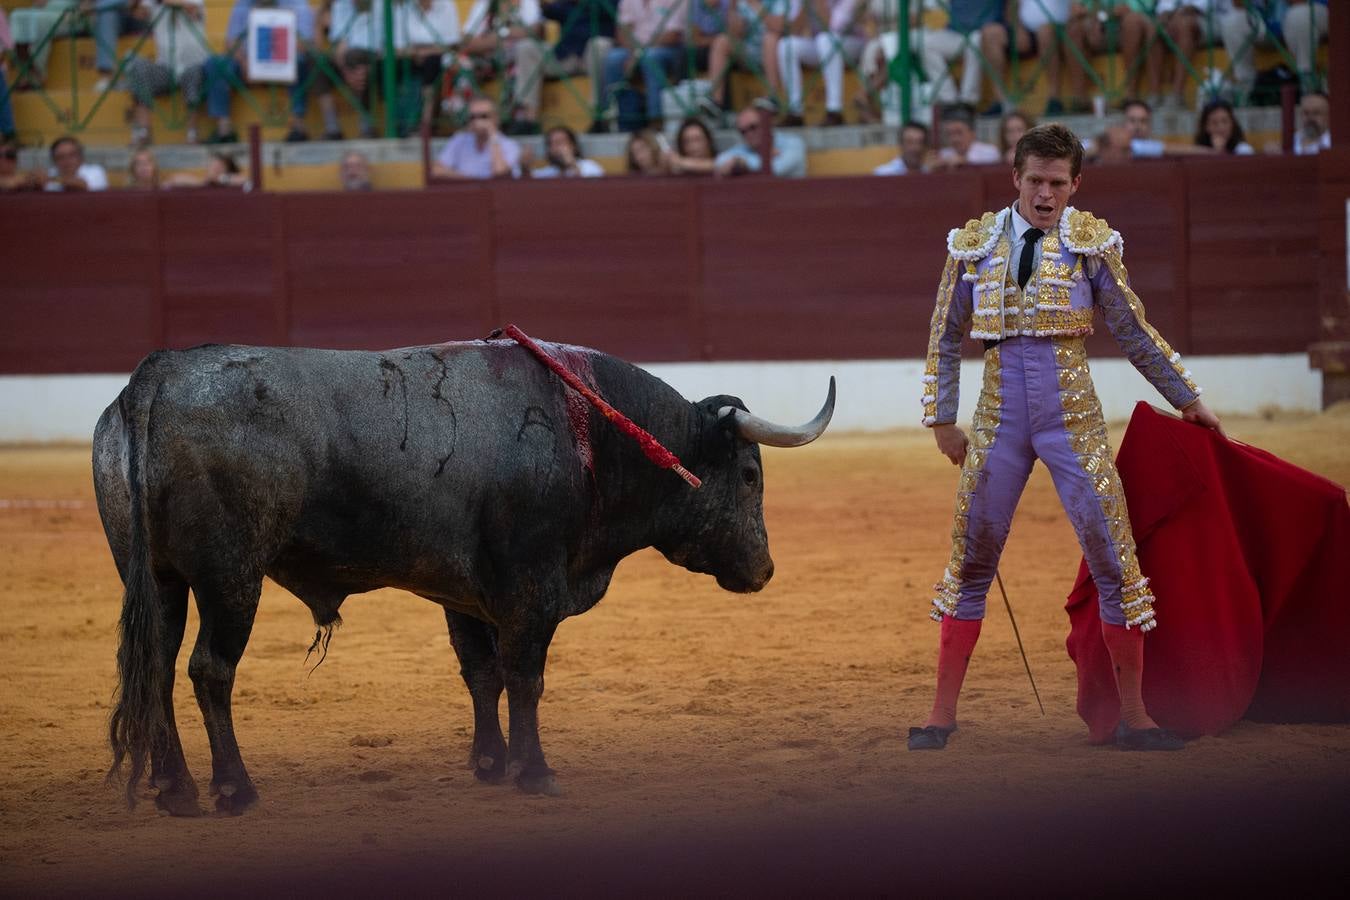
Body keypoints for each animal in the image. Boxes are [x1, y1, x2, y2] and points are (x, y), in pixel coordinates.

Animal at [95, 337, 831, 814]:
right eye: (749, 474)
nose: (764, 569)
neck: (591, 432)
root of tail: (155, 379)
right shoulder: (532, 589)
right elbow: (525, 678)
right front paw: (534, 773)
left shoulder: (464, 593)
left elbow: (481, 673)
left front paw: (489, 764)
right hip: (231, 577)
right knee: (209, 671)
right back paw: (233, 790)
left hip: (157, 577)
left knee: (156, 668)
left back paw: (175, 791)